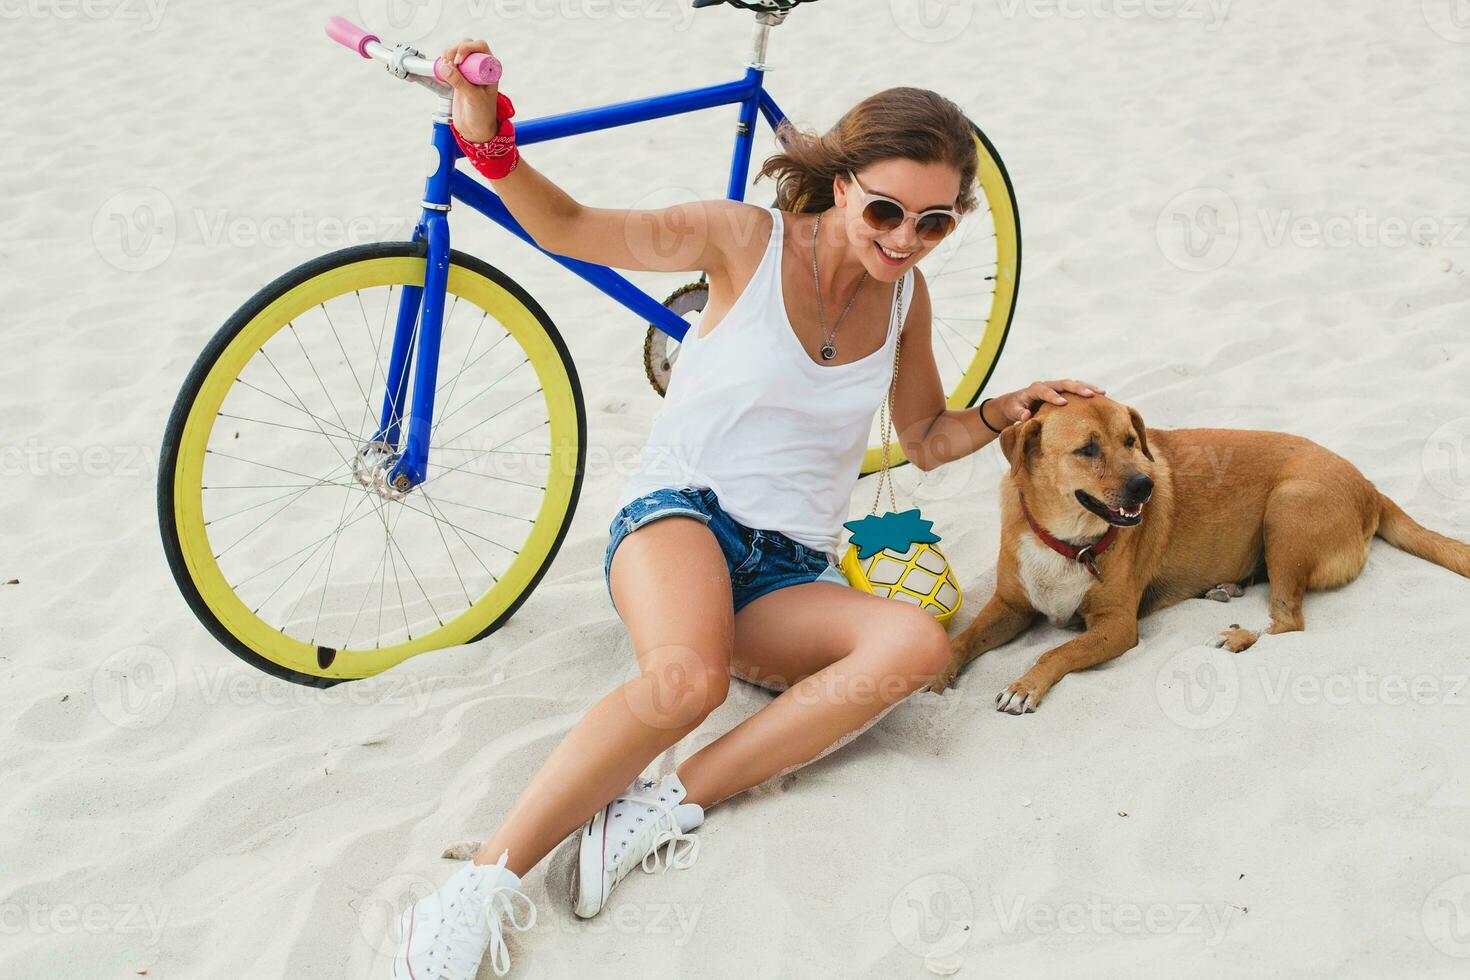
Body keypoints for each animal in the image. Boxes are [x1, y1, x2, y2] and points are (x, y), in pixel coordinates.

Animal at [929, 396, 1470, 714]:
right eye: (1087, 449)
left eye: (1131, 441)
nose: (1146, 486)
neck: (1067, 539)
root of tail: (1370, 487)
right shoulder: (1010, 605)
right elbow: (963, 639)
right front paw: (935, 671)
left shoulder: (1117, 626)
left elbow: (1055, 650)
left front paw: (1026, 684)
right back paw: (1228, 587)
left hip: (1288, 509)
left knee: (1289, 620)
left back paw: (1239, 636)